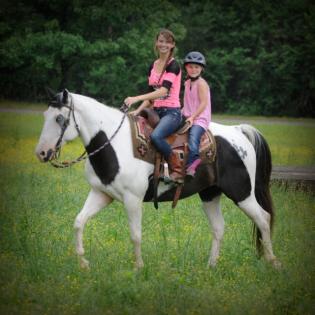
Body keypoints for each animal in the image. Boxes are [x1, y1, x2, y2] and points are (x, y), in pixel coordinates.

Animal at [34, 90, 282, 270]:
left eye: (59, 118)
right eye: (45, 116)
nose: (42, 153)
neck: (114, 144)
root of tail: (238, 131)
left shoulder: (132, 199)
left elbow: (135, 235)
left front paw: (138, 268)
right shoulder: (101, 194)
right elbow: (79, 222)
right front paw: (84, 263)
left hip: (242, 193)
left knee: (263, 218)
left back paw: (273, 262)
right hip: (210, 194)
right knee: (219, 228)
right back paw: (211, 265)